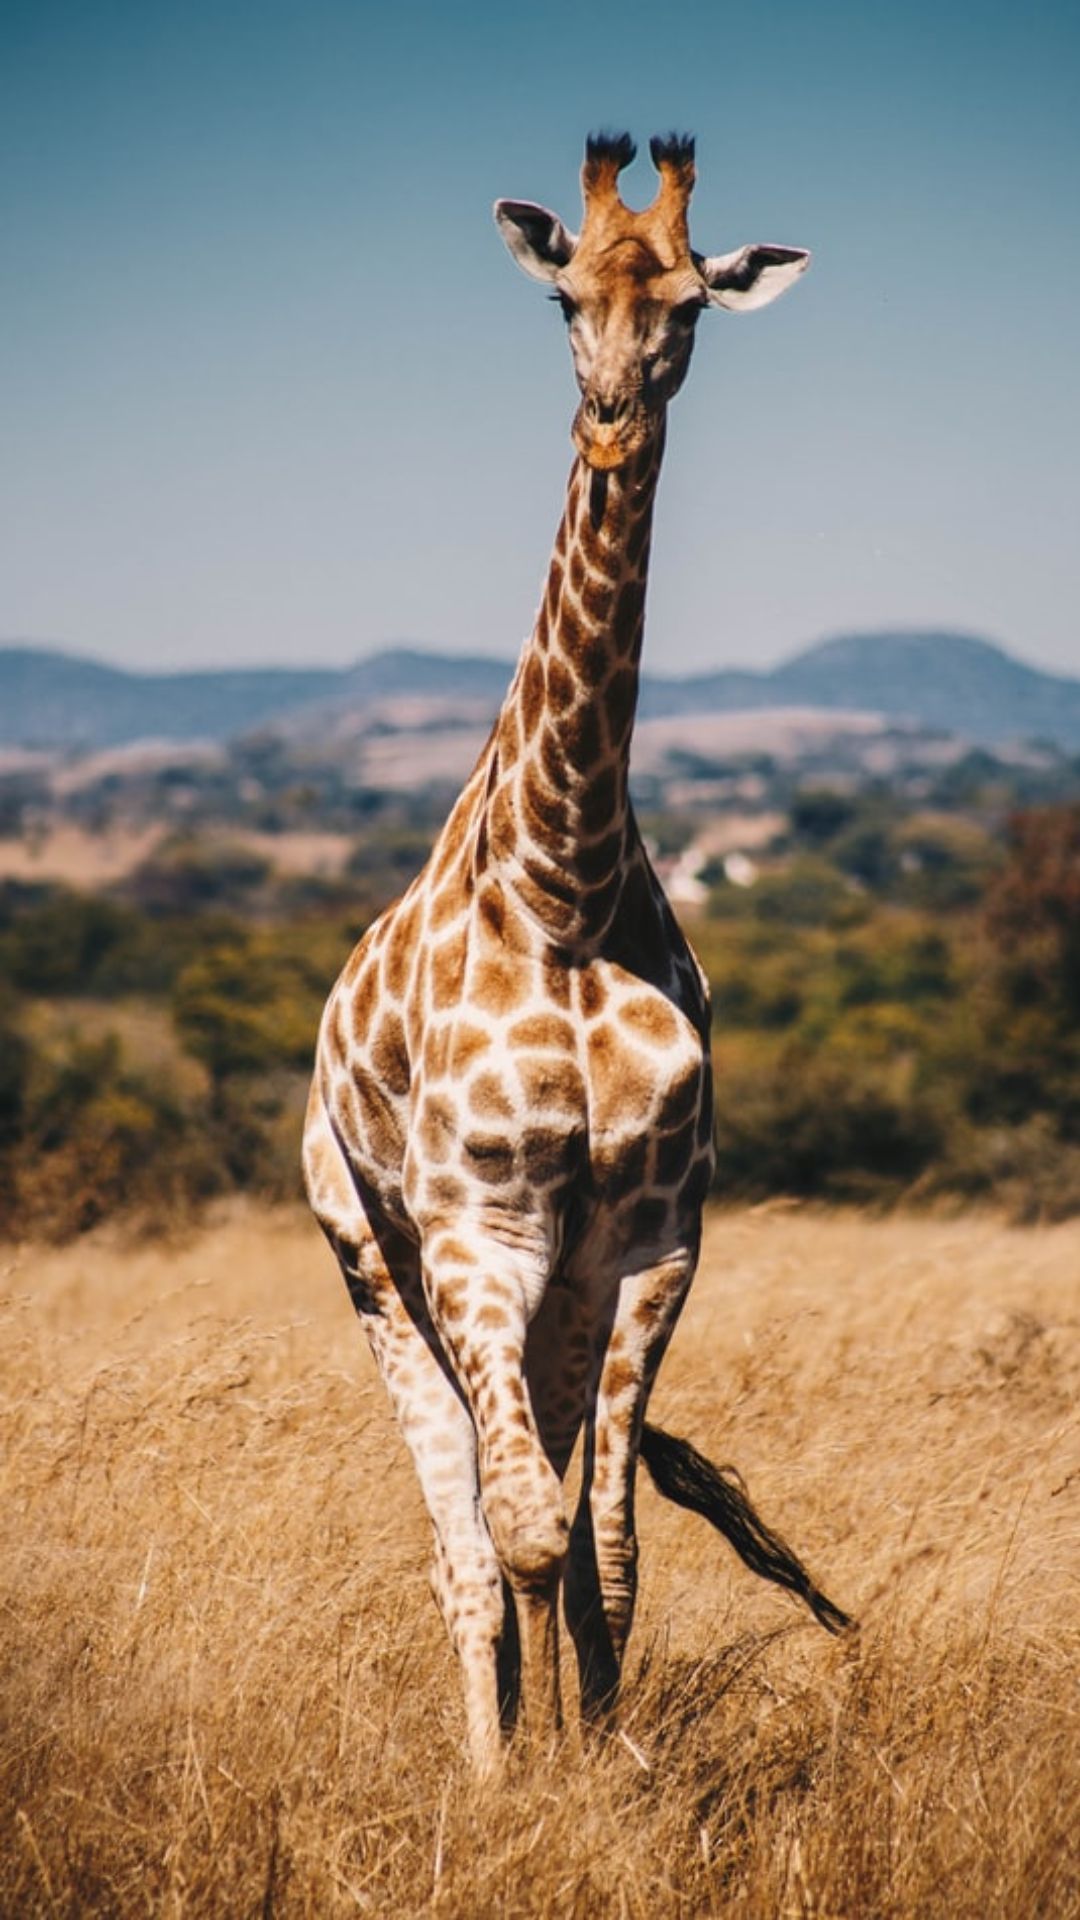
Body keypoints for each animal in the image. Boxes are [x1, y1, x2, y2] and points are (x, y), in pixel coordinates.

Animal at [303, 132, 849, 1774]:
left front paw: (611, 1769)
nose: (609, 422)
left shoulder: (650, 1240)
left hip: (543, 1293)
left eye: (690, 303)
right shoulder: (480, 1228)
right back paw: (491, 1769)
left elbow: (605, 1546)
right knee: (464, 1540)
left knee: (540, 1499)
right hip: (374, 1257)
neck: (567, 883)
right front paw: (529, 1791)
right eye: (561, 301)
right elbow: (523, 1533)